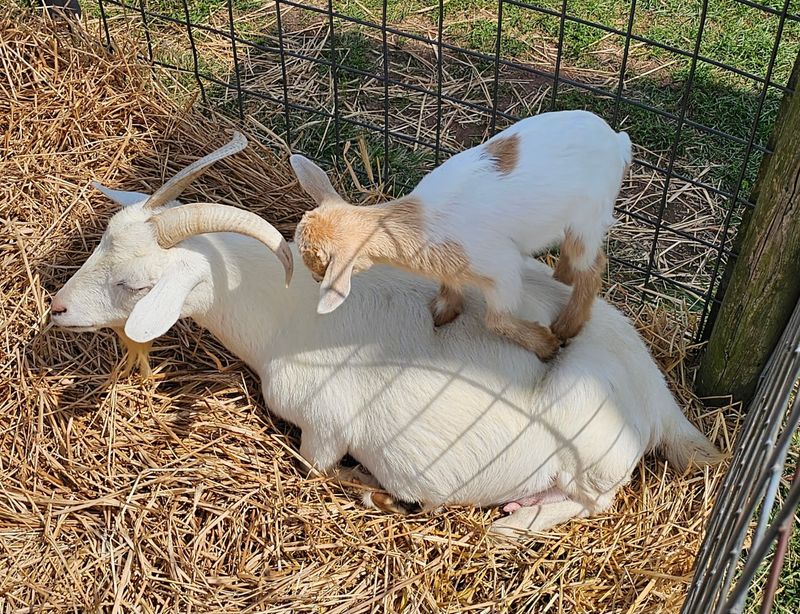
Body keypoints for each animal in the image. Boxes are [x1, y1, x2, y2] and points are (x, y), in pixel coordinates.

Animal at [50, 138, 720, 538]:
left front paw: (383, 497)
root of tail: (658, 394)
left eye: (136, 286)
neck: (284, 313)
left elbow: (315, 469)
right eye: (102, 240)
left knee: (595, 499)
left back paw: (516, 520)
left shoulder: (323, 428)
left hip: (594, 458)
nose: (55, 309)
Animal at [291, 110, 632, 360]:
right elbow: (450, 285)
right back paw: (560, 280)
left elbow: (496, 320)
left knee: (593, 267)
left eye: (319, 263)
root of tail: (617, 140)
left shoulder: (502, 271)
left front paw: (545, 345)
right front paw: (442, 312)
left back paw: (566, 326)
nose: (314, 280)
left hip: (587, 218)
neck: (422, 224)